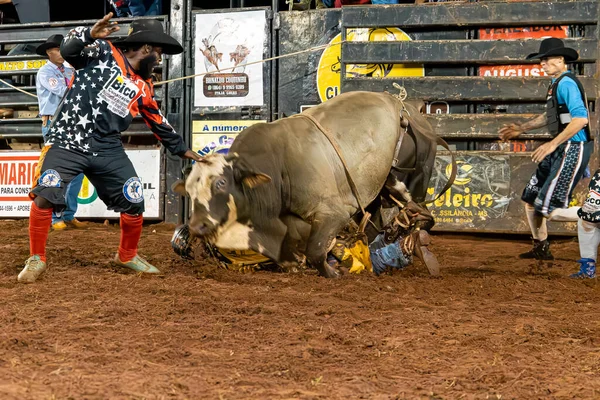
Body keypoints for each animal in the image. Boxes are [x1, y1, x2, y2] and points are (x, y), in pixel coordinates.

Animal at [172, 90, 446, 278]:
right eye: (190, 191)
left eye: (221, 183)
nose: (196, 225)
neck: (277, 166)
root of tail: (406, 106)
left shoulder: (333, 213)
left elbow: (316, 248)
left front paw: (332, 272)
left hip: (414, 176)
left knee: (419, 213)